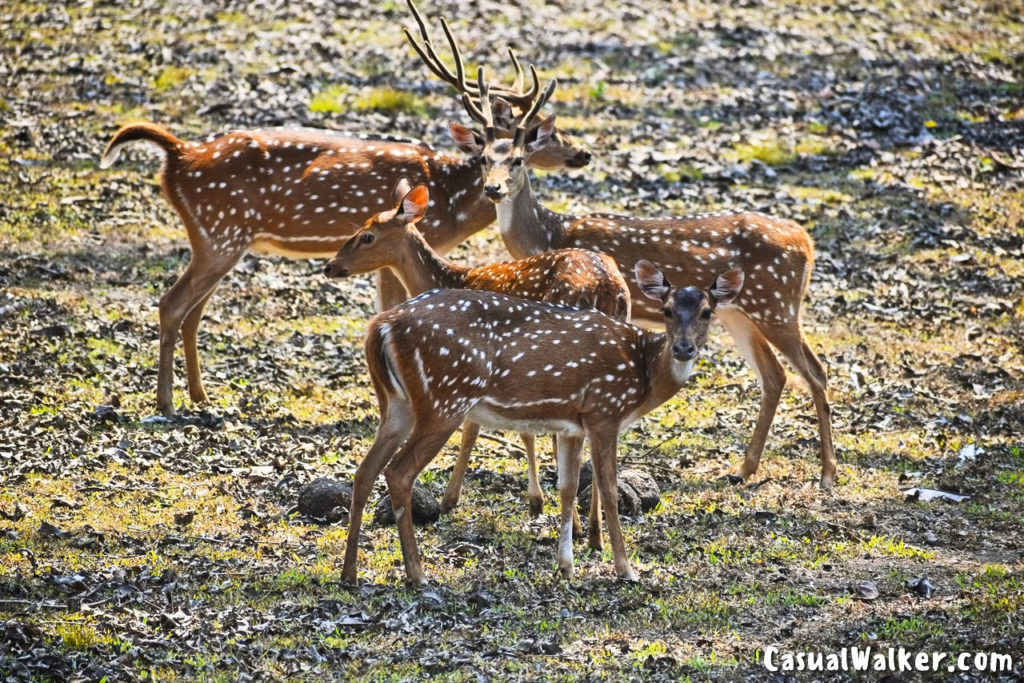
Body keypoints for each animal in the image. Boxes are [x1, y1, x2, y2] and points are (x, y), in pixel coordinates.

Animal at [101, 0, 593, 417]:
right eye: (543, 133)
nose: (583, 153)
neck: (449, 200)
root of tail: (179, 155)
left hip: (218, 239)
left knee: (192, 312)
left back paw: (200, 396)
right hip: (220, 232)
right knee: (172, 304)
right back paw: (166, 403)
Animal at [325, 178, 630, 524]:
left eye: (367, 235)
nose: (330, 267)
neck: (449, 277)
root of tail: (606, 287)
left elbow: (477, 427)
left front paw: (453, 499)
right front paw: (534, 501)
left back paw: (581, 526)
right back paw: (593, 527)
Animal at [346, 264, 745, 585]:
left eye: (707, 312)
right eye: (666, 310)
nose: (683, 348)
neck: (643, 377)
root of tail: (381, 326)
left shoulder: (572, 425)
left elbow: (567, 488)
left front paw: (566, 567)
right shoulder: (604, 410)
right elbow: (609, 490)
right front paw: (625, 569)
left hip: (397, 404)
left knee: (364, 470)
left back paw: (350, 574)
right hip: (444, 400)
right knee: (398, 472)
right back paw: (417, 574)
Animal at [444, 69, 835, 489]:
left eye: (519, 156)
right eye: (484, 158)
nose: (493, 188)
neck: (551, 233)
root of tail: (807, 242)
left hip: (778, 305)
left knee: (816, 371)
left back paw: (827, 474)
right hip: (740, 313)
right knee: (775, 375)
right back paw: (743, 469)